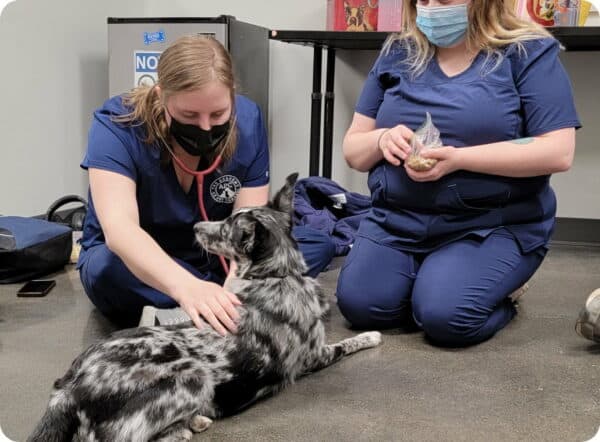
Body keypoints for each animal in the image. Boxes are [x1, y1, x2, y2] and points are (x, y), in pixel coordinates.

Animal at [28, 174, 382, 442]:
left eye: (225, 228)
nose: (196, 226)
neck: (279, 274)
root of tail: (69, 387)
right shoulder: (313, 356)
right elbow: (347, 343)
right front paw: (371, 336)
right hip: (194, 379)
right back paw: (187, 426)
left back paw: (193, 421)